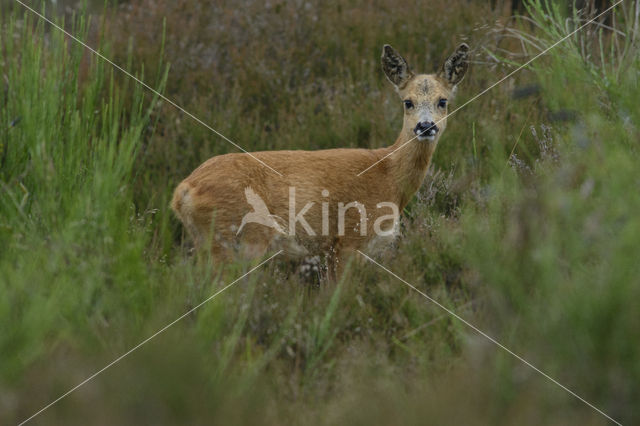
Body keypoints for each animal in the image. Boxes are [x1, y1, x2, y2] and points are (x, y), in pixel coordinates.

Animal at [171, 42, 470, 276]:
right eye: (407, 102)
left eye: (443, 101)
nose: (426, 126)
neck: (388, 174)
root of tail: (183, 191)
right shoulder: (349, 239)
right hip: (238, 238)